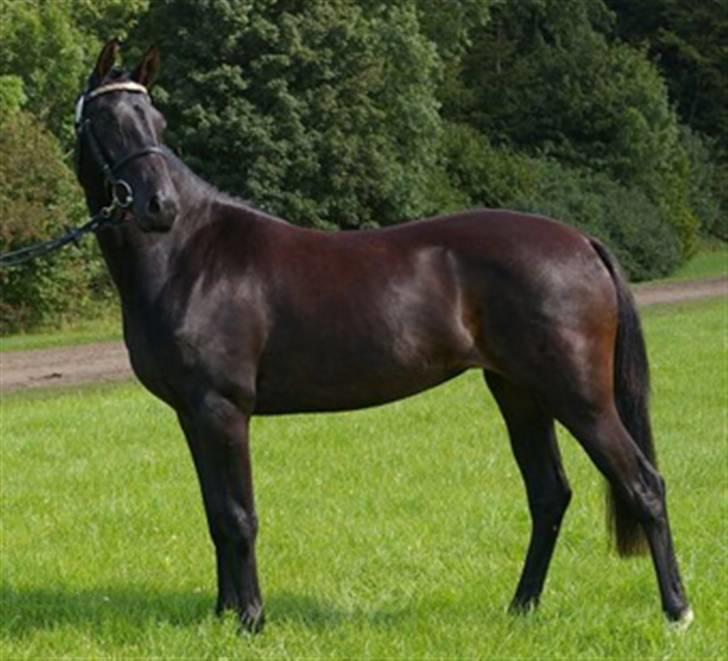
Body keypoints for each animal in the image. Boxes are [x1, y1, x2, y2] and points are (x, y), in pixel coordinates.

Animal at [72, 40, 692, 632]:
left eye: (156, 120)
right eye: (107, 120)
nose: (159, 206)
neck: (189, 254)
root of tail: (583, 241)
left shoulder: (222, 408)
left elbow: (239, 516)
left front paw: (250, 619)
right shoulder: (193, 413)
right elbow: (216, 514)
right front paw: (224, 614)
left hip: (579, 398)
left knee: (643, 484)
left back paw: (677, 611)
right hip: (519, 393)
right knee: (549, 495)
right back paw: (521, 607)